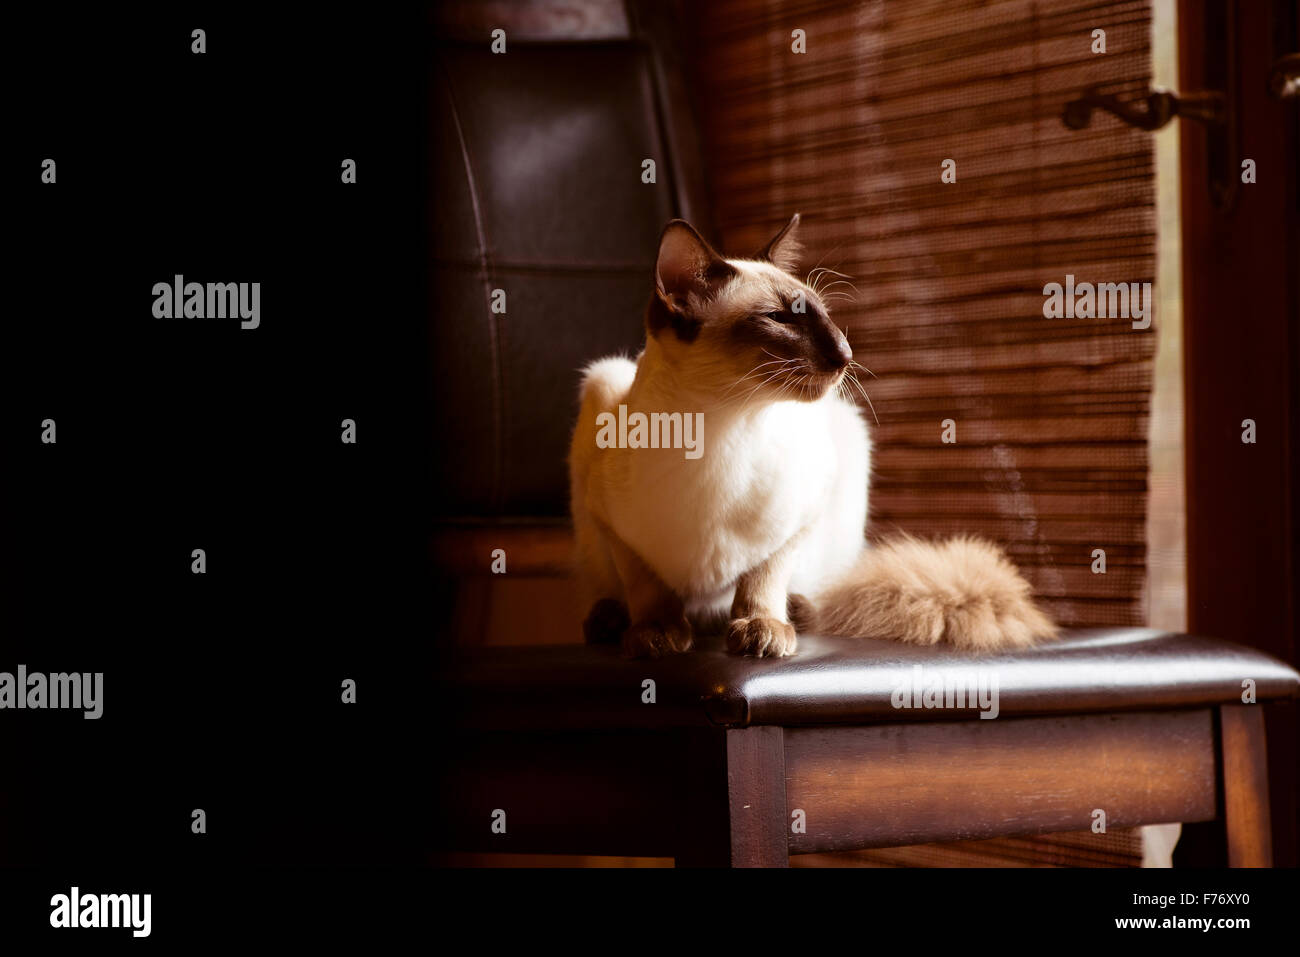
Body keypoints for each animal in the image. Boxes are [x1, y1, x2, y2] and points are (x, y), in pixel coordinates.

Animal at [569, 214, 1055, 657]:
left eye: (825, 317)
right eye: (779, 319)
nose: (847, 354)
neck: (716, 432)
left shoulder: (801, 516)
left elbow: (762, 576)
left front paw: (761, 629)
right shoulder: (610, 525)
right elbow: (647, 585)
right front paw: (656, 633)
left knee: (813, 591)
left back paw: (795, 614)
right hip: (601, 389)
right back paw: (610, 622)